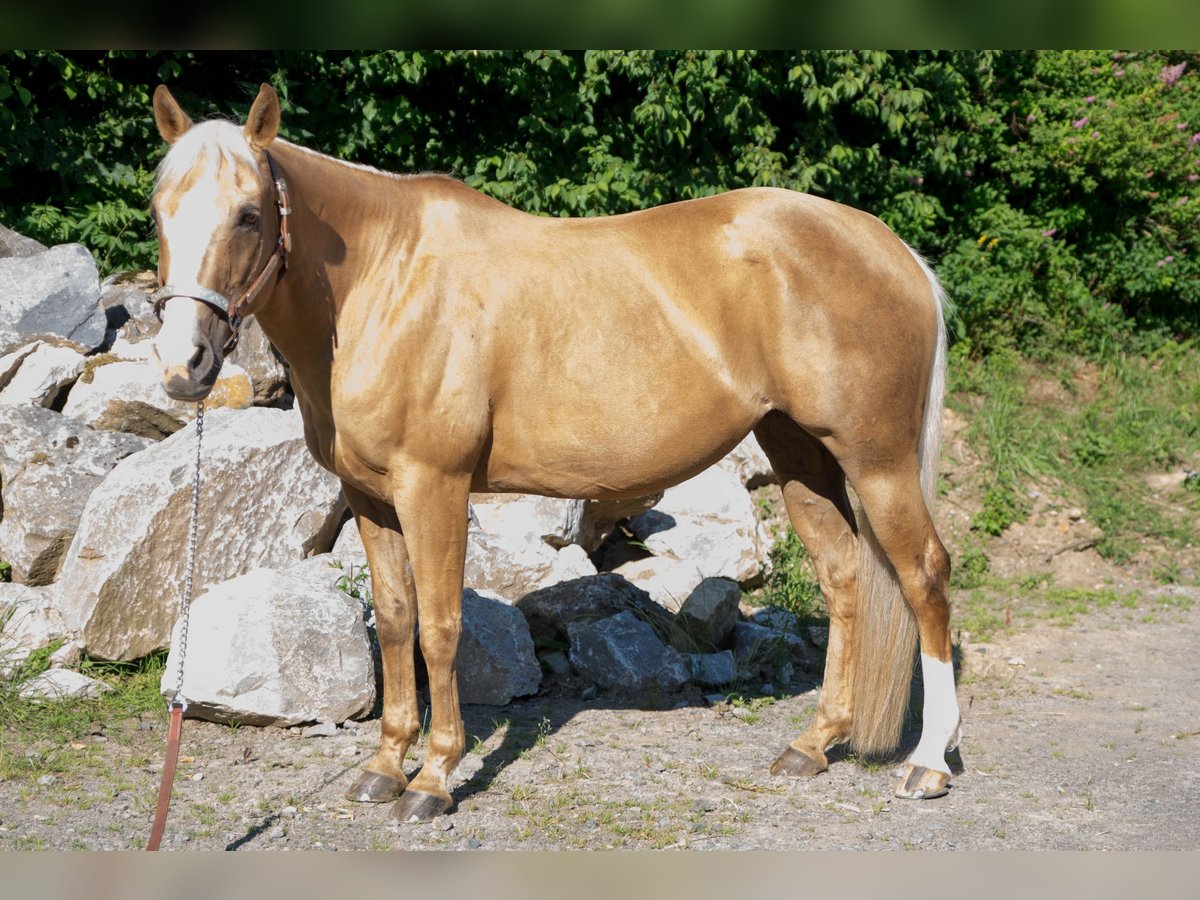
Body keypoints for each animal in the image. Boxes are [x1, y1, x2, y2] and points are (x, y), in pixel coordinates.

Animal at [150, 84, 960, 825]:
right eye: (160, 210)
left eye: (249, 214)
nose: (183, 363)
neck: (383, 282)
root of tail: (895, 251)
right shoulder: (371, 497)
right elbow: (398, 619)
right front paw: (383, 767)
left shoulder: (434, 487)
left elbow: (441, 627)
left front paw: (434, 778)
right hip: (798, 451)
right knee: (845, 576)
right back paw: (815, 743)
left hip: (876, 461)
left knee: (923, 576)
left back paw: (927, 765)